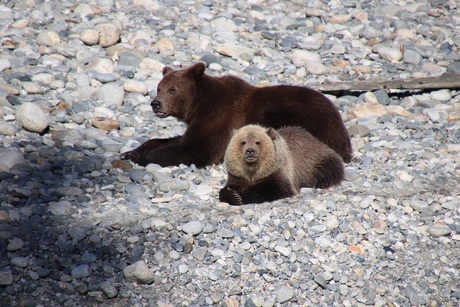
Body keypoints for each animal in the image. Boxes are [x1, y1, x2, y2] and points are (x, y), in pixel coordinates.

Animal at [119, 62, 352, 167]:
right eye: (159, 87)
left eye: (173, 89)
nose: (155, 104)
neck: (200, 104)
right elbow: (176, 140)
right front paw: (132, 151)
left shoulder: (220, 118)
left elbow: (196, 149)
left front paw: (139, 156)